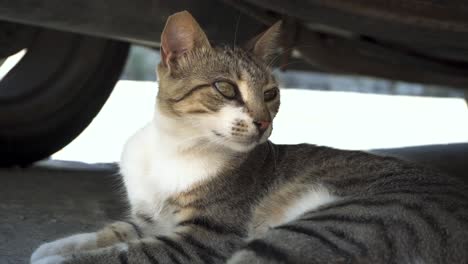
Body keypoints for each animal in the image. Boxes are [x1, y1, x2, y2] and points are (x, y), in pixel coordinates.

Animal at [30, 10, 468, 264]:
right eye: (225, 88)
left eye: (271, 94)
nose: (262, 123)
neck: (172, 147)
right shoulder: (151, 218)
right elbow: (116, 231)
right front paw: (55, 246)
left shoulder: (206, 236)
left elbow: (130, 252)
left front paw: (60, 260)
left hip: (330, 227)